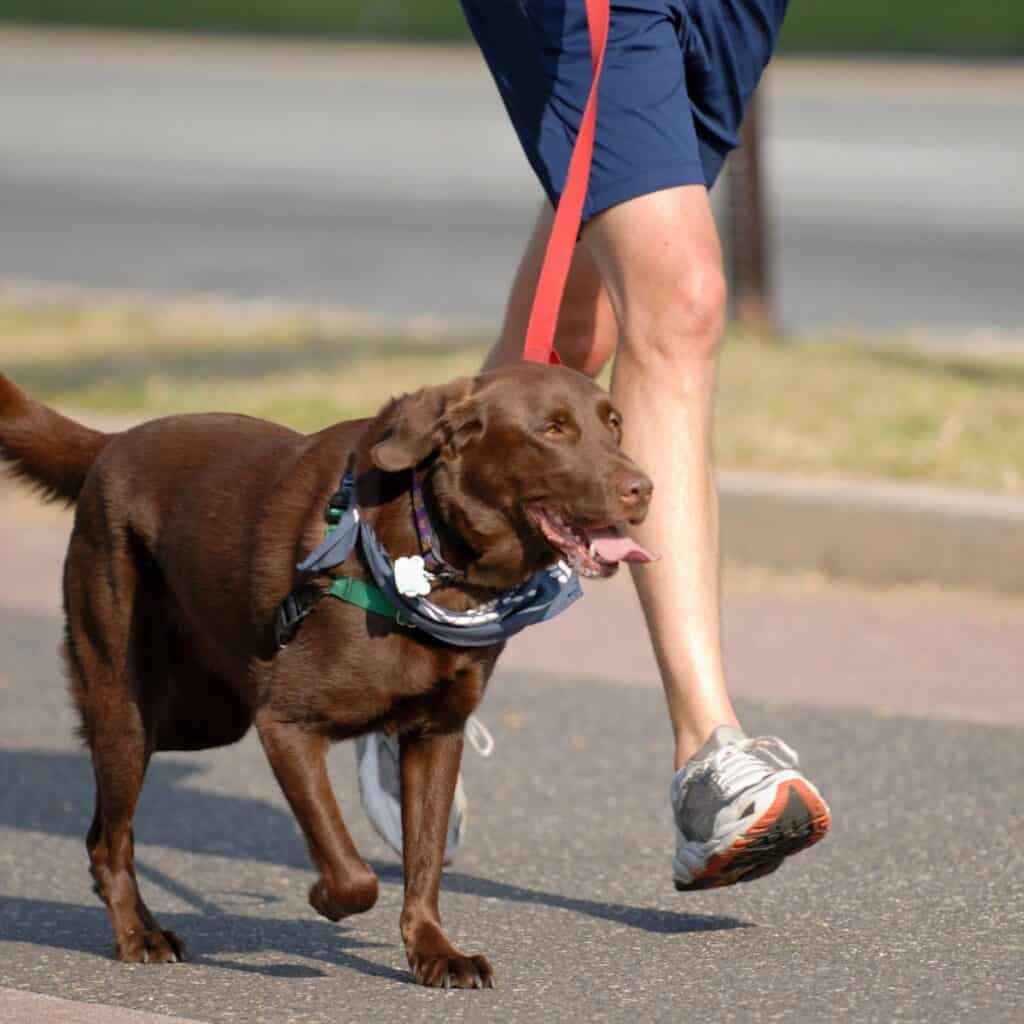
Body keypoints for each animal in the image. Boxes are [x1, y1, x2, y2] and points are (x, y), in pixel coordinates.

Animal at [0, 364, 651, 987]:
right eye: (552, 430)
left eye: (614, 423)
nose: (644, 487)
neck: (434, 556)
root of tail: (113, 444)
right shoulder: (286, 724)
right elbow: (351, 869)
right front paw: (323, 898)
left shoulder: (436, 735)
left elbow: (424, 861)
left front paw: (436, 953)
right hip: (130, 703)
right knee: (111, 834)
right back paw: (139, 934)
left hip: (205, 716)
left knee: (104, 826)